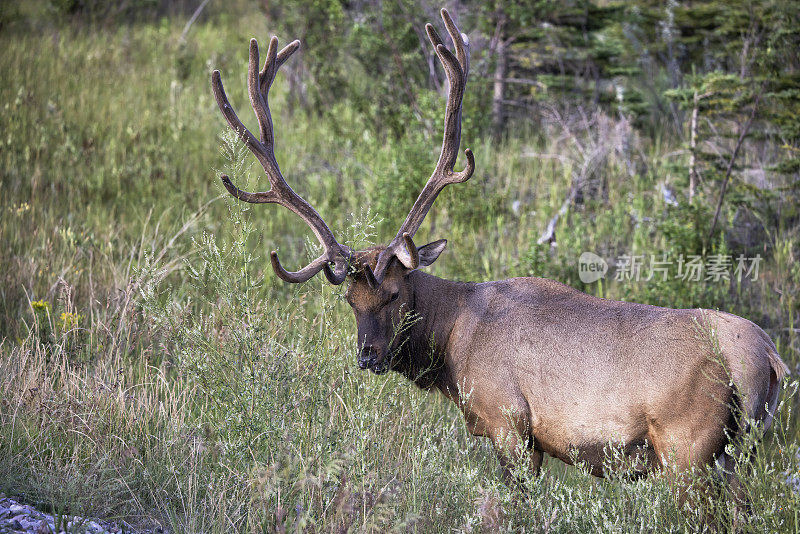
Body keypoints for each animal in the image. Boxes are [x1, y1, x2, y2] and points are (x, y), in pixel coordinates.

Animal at [211, 7, 788, 502]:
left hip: (690, 448)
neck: (452, 350)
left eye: (394, 293)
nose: (368, 355)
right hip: (732, 454)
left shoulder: (511, 423)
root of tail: (768, 358)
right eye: (350, 302)